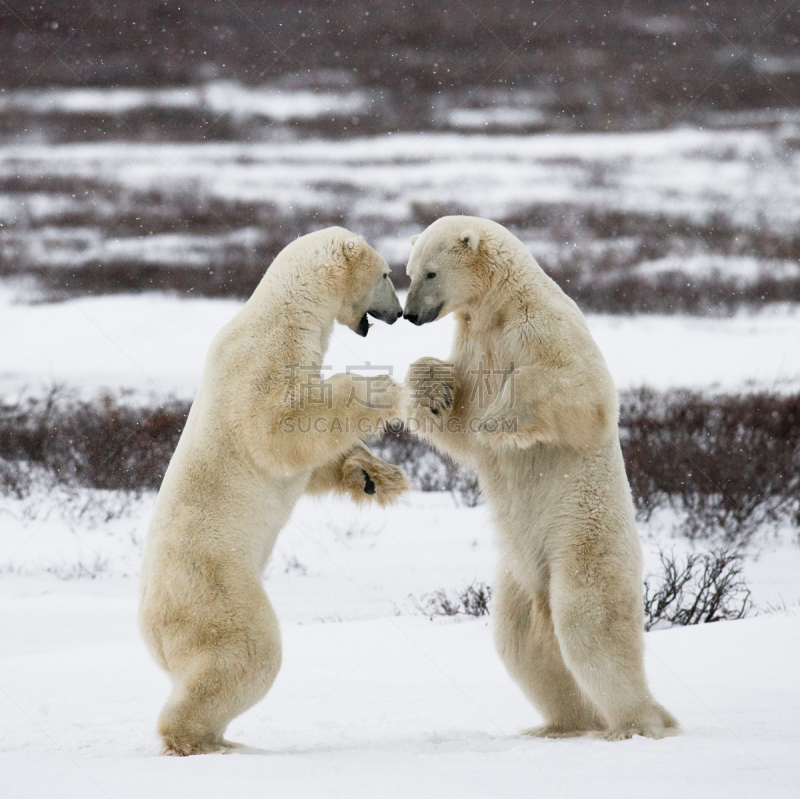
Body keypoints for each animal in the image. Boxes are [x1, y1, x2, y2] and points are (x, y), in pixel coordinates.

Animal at [138, 227, 410, 756]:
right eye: (388, 274)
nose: (399, 312)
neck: (288, 313)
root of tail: (150, 631)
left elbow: (314, 459)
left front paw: (376, 476)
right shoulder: (262, 361)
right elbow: (279, 431)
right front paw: (382, 388)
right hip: (214, 586)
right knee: (246, 652)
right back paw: (206, 741)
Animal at [406, 216, 676, 740]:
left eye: (430, 273)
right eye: (406, 272)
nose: (408, 315)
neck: (497, 307)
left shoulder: (542, 326)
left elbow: (582, 391)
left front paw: (498, 419)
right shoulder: (474, 341)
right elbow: (458, 424)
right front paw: (433, 389)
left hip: (580, 533)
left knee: (589, 620)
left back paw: (636, 723)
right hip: (516, 569)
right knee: (520, 639)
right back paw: (561, 724)